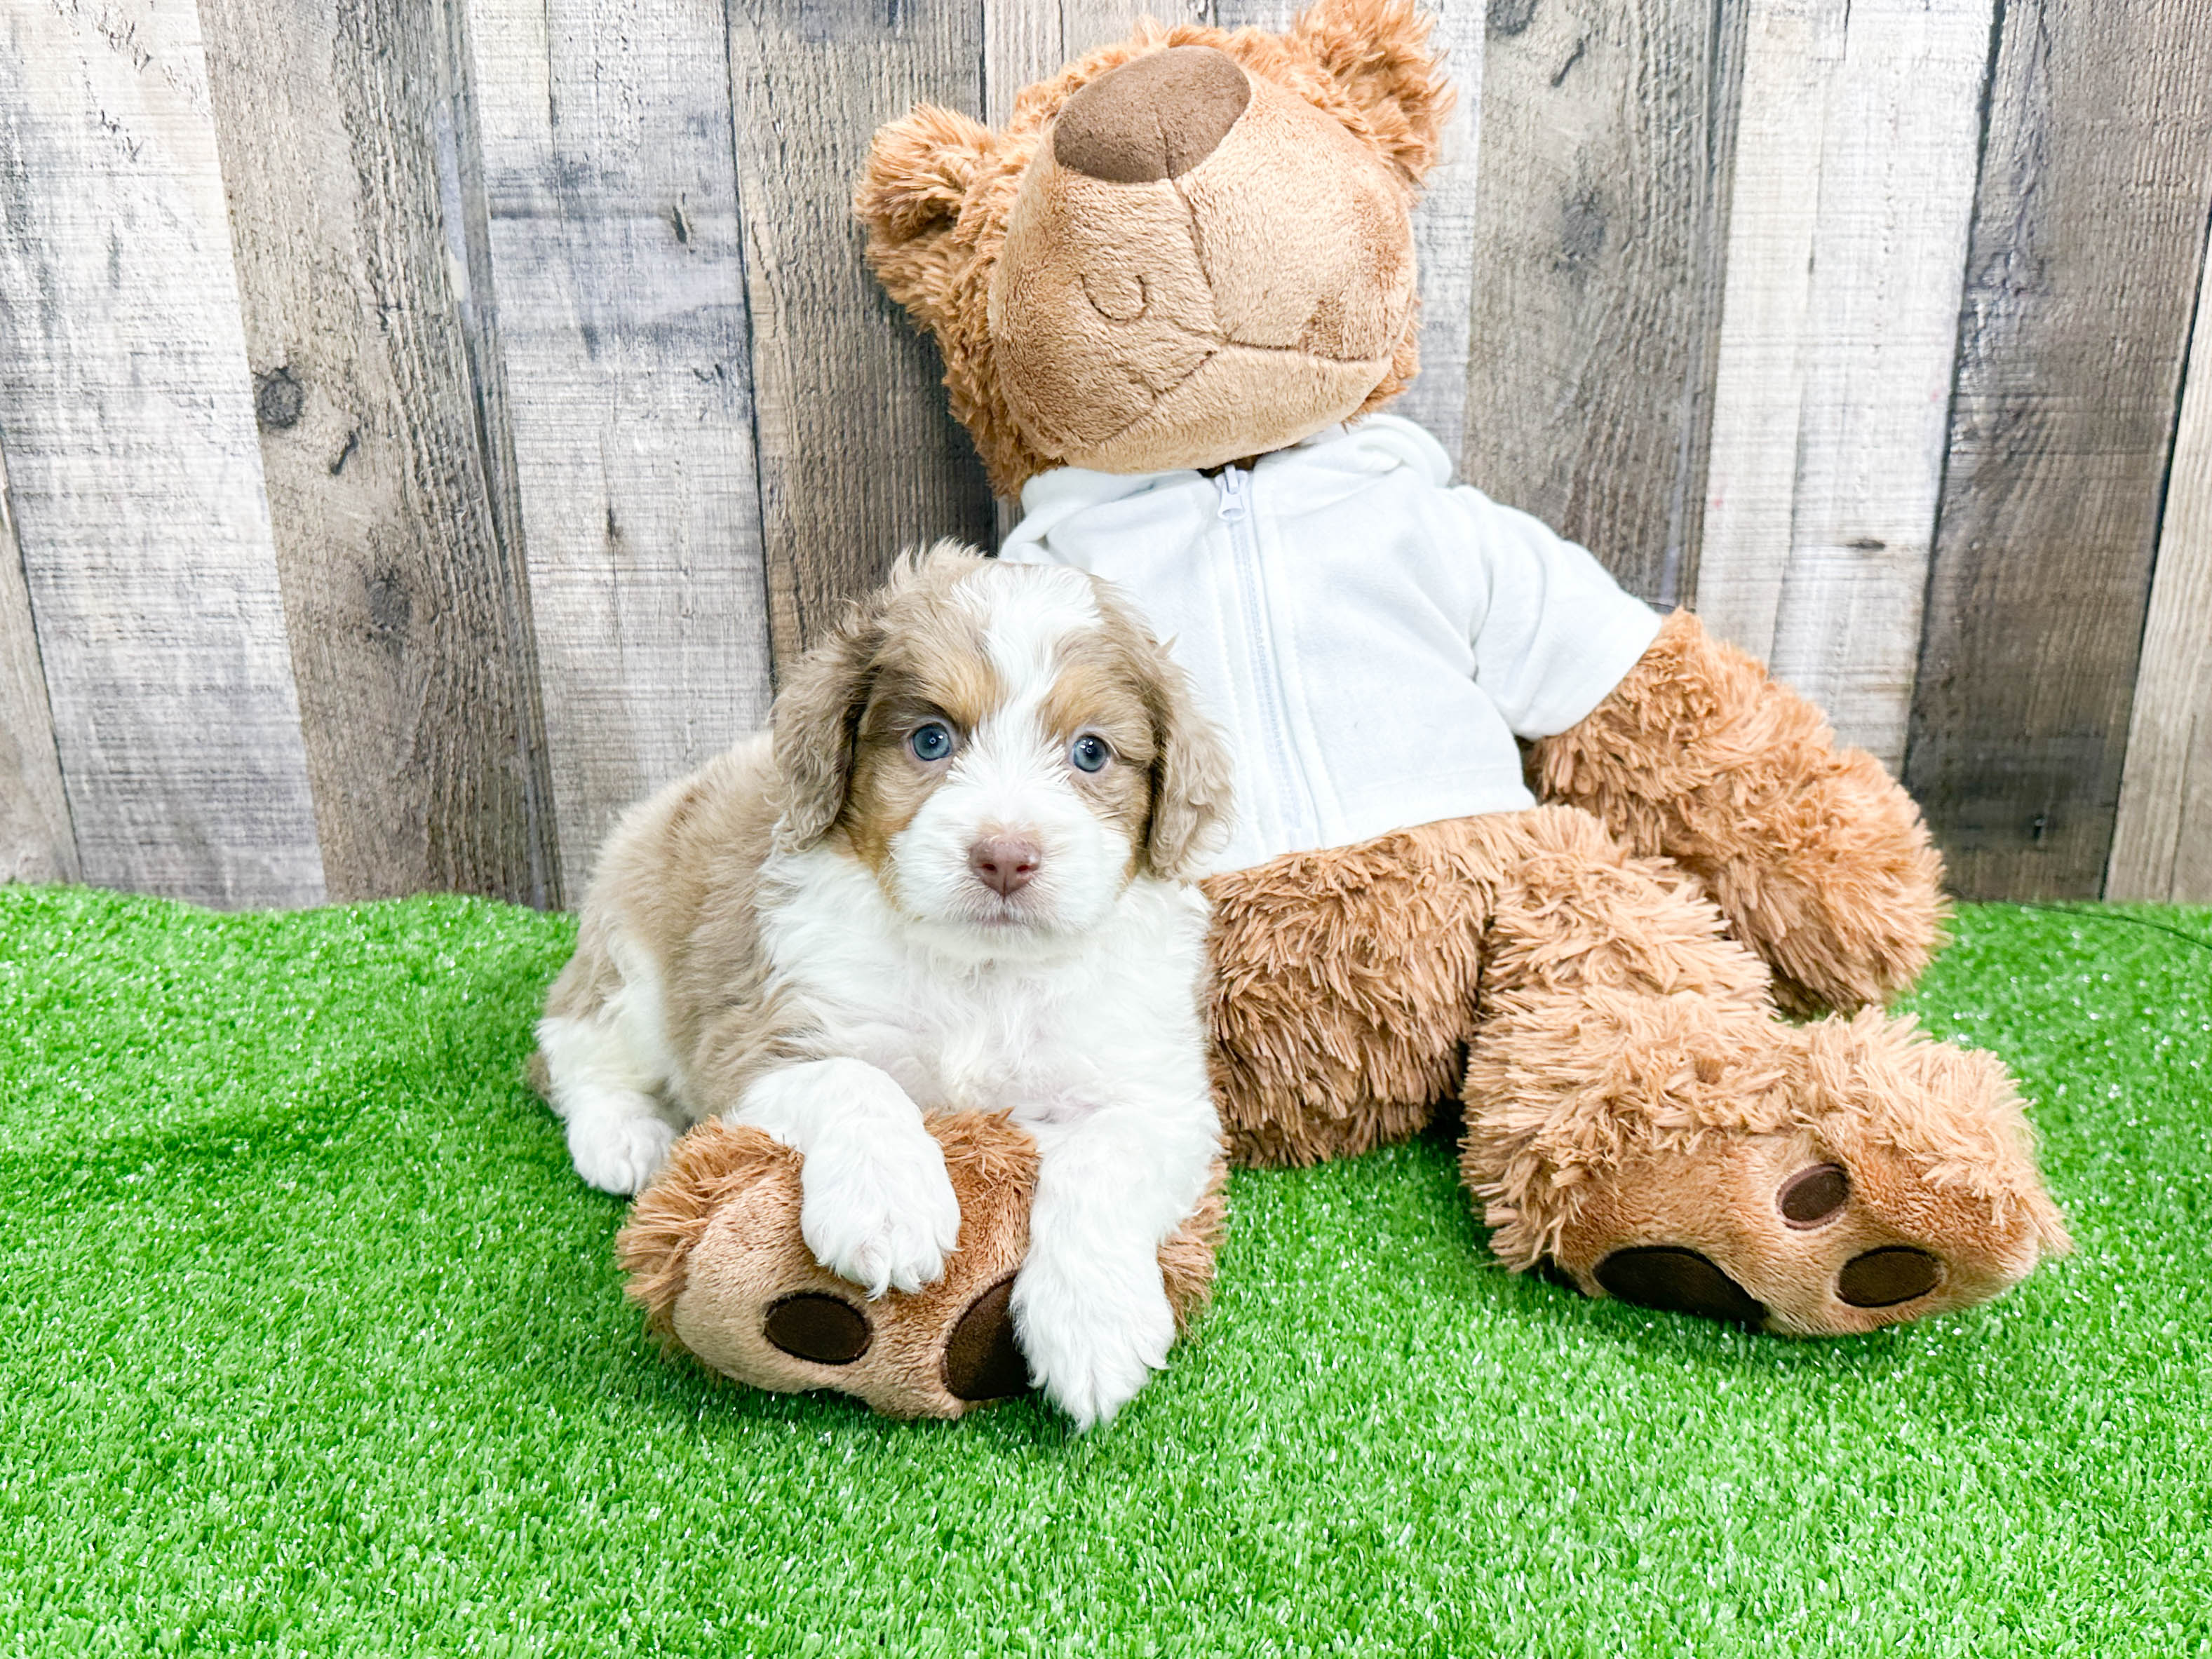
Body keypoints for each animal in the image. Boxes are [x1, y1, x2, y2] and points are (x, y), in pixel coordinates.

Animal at [528, 546, 1239, 1433]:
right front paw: (889, 1207)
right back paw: (621, 1135)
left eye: (1091, 753)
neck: (979, 972)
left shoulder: (1159, 1094)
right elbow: (854, 1078)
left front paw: (1094, 1322)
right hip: (632, 954)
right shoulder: (759, 1038)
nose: (1004, 856)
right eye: (930, 739)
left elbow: (1104, 1156)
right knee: (569, 1044)